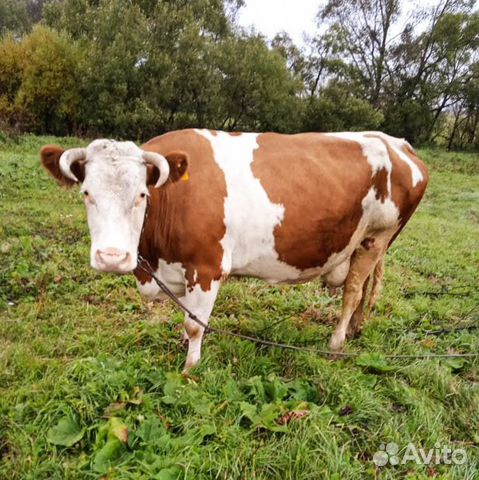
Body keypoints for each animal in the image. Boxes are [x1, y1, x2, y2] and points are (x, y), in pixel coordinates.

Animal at [41, 129, 430, 370]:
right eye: (86, 193)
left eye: (141, 194)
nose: (111, 257)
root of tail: (397, 143)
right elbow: (187, 317)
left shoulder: (207, 267)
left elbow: (195, 324)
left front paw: (190, 368)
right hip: (370, 243)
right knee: (363, 288)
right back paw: (354, 329)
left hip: (377, 236)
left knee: (352, 291)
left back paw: (336, 343)